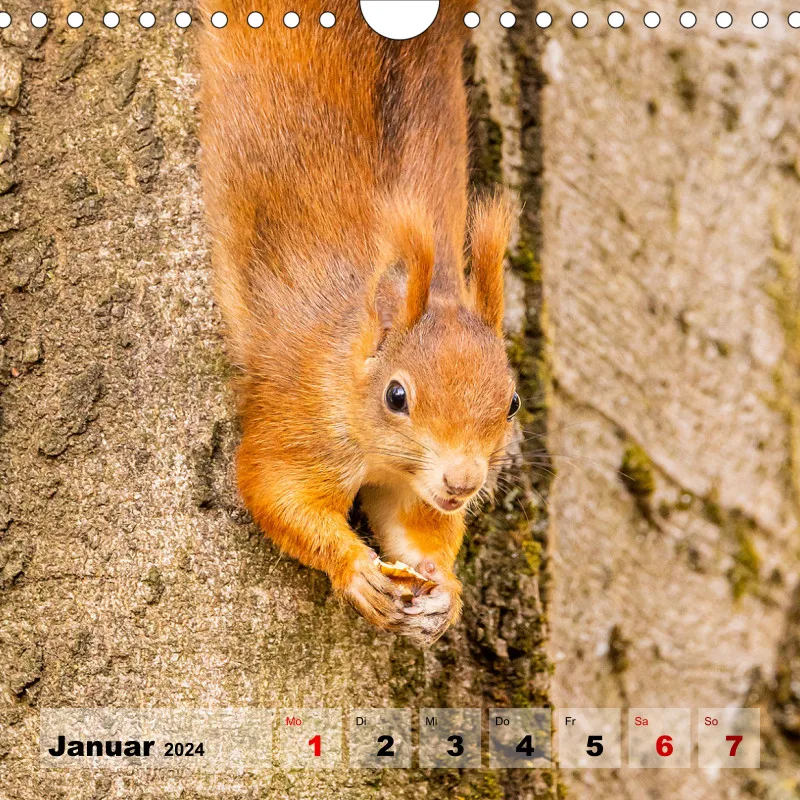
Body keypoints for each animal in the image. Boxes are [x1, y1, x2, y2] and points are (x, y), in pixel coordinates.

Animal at [199, 0, 518, 645]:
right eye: (397, 396)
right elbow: (274, 489)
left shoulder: (417, 488)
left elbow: (419, 525)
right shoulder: (297, 418)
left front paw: (444, 593)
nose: (463, 483)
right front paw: (357, 570)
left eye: (514, 404)